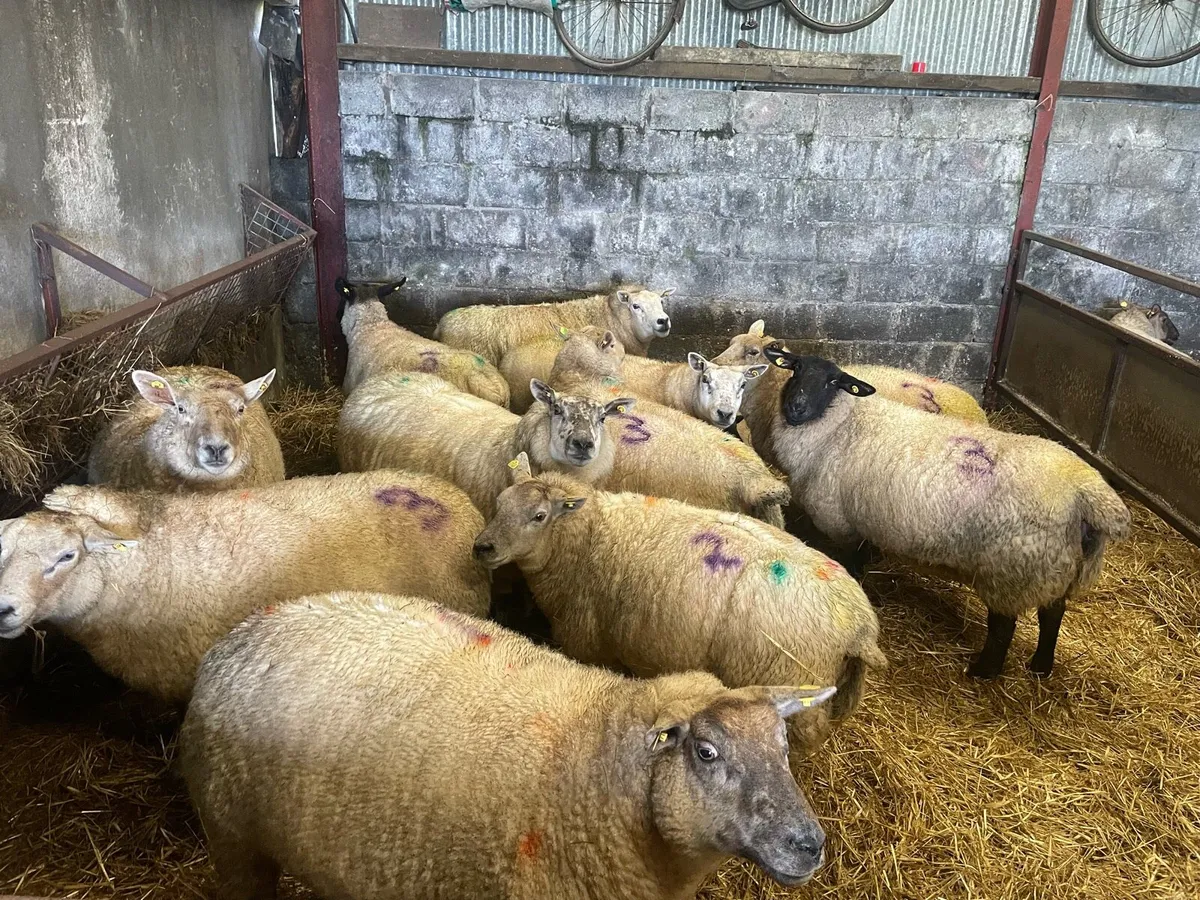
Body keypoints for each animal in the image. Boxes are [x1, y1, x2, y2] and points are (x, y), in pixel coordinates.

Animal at [473, 454, 885, 753]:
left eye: (539, 516)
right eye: (499, 502)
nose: (482, 548)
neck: (587, 536)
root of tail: (861, 627)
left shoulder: (587, 642)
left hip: (796, 699)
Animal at [762, 346, 1131, 680]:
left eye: (833, 382)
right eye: (795, 369)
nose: (796, 408)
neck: (841, 423)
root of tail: (1088, 492)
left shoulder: (843, 521)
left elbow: (852, 562)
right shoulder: (864, 521)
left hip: (1012, 570)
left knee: (1004, 626)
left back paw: (983, 671)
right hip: (1056, 567)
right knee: (1052, 616)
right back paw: (1040, 667)